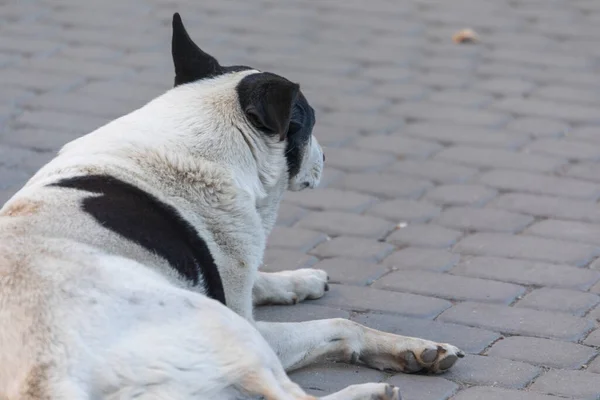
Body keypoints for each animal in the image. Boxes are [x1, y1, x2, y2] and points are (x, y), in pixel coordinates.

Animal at [0, 13, 464, 400]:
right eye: (309, 123)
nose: (327, 157)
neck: (197, 143)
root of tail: (48, 371)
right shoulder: (245, 315)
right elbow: (343, 326)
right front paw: (413, 347)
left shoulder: (229, 275)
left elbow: (263, 280)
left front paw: (301, 280)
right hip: (233, 333)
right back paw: (371, 392)